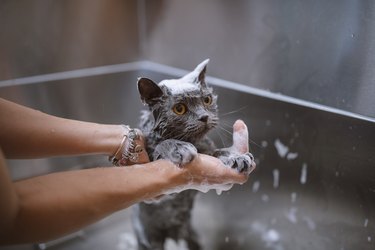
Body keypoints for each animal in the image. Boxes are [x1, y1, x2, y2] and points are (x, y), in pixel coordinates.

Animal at [133, 59, 256, 250]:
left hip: (192, 236)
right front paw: (179, 148)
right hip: (150, 240)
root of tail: (173, 233)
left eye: (207, 100)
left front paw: (235, 157)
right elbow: (161, 144)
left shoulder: (208, 149)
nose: (204, 117)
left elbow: (218, 152)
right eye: (179, 109)